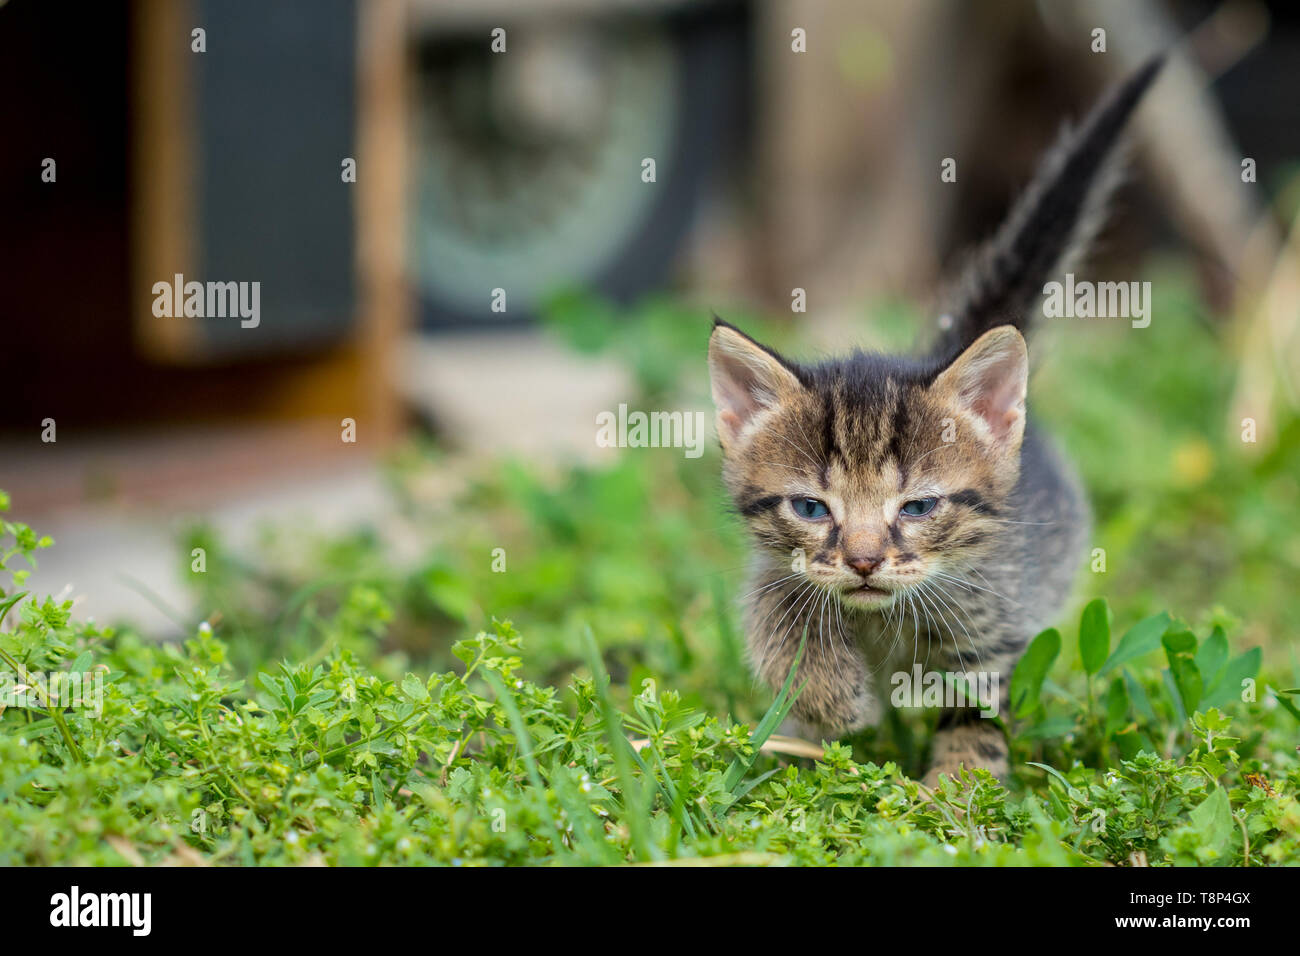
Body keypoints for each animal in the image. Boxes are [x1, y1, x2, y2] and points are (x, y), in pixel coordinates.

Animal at [712, 55, 1170, 785]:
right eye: (811, 509)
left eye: (918, 507)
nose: (864, 561)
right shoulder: (774, 569)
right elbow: (776, 615)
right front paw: (832, 698)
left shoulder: (999, 618)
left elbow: (976, 709)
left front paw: (958, 789)